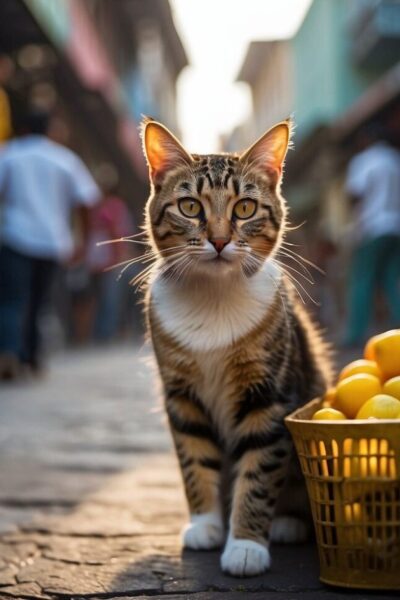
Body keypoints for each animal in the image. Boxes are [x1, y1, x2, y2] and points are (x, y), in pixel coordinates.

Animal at [139, 116, 332, 576]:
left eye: (244, 208)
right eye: (190, 207)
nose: (220, 240)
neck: (214, 297)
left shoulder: (269, 394)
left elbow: (258, 471)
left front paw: (245, 545)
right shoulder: (181, 395)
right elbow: (194, 458)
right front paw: (206, 524)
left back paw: (287, 523)